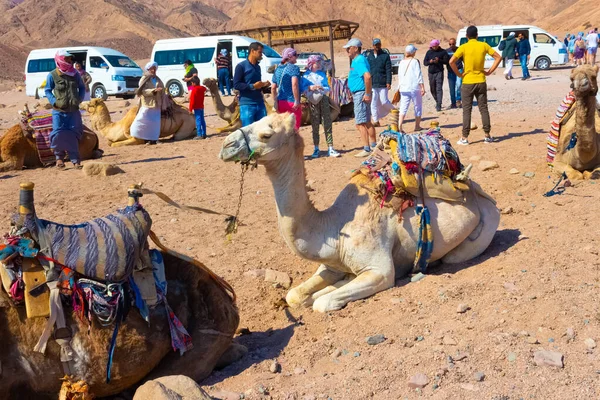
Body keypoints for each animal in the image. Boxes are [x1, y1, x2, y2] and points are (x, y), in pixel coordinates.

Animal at [218, 112, 500, 312]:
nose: (226, 145)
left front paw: (328, 292)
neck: (334, 227)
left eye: (267, 134)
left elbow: (323, 302)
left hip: (483, 228)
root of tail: (477, 189)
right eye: (253, 119)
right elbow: (294, 295)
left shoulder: (379, 269)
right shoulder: (330, 263)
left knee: (454, 257)